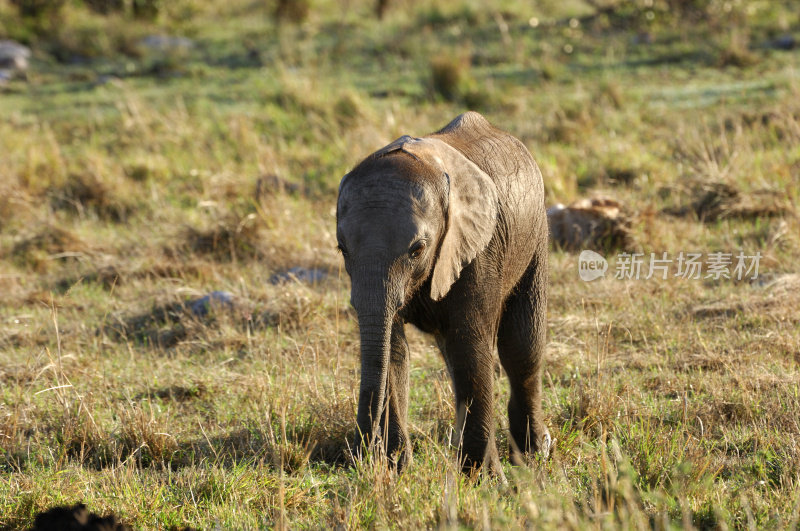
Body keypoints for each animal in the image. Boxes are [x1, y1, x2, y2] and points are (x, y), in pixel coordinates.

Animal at [338, 110, 552, 476]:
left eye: (417, 249)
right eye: (342, 250)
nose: (361, 457)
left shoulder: (479, 249)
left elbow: (470, 346)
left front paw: (482, 477)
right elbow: (394, 351)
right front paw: (398, 469)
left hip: (536, 235)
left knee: (521, 348)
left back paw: (532, 455)